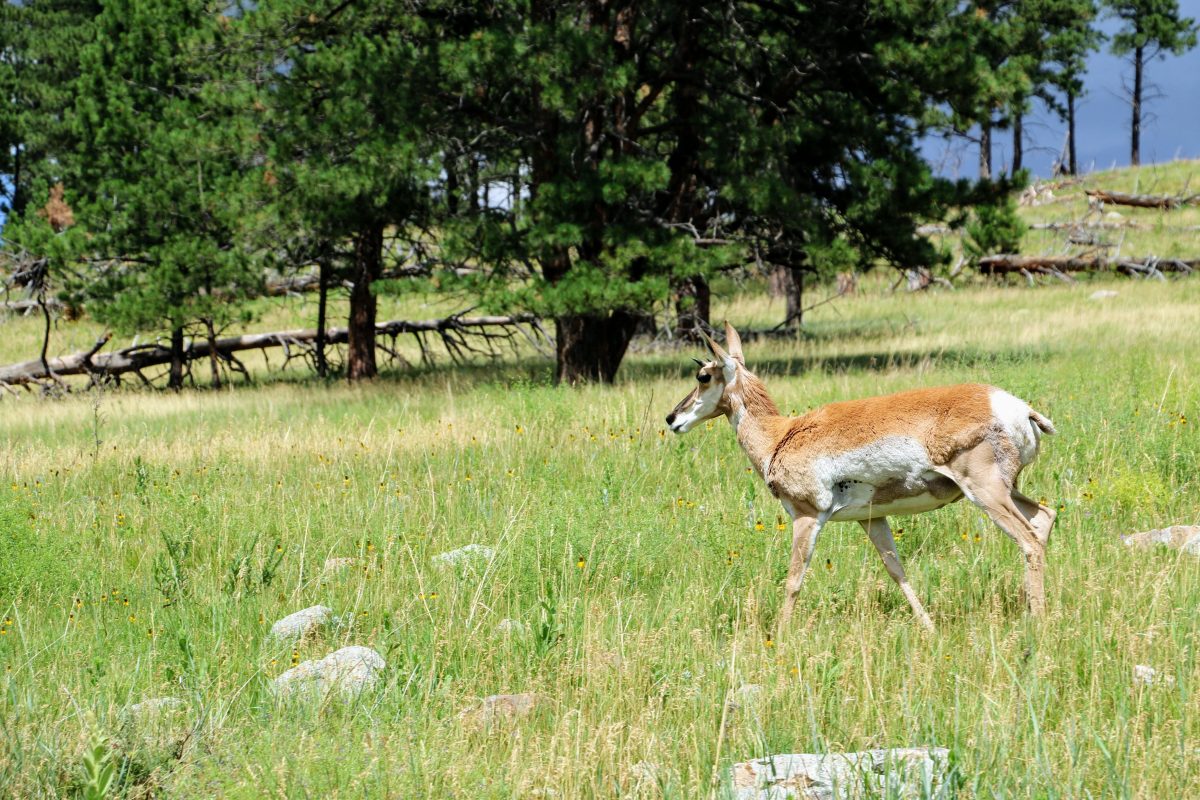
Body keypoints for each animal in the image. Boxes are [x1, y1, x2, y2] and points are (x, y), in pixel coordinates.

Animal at [667, 323, 1060, 633]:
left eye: (703, 376)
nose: (672, 418)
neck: (782, 435)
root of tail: (1018, 407)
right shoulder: (872, 518)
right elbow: (896, 569)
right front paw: (930, 628)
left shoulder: (808, 517)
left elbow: (794, 579)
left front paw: (778, 636)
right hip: (1008, 490)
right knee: (1044, 517)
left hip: (986, 492)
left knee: (1028, 539)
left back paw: (1038, 624)